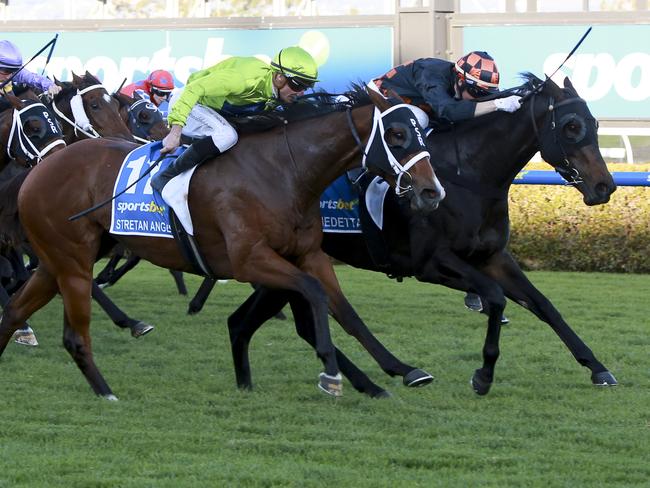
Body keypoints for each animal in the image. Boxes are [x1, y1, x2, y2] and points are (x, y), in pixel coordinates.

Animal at [0, 88, 442, 400]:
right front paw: (330, 373)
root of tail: (40, 169)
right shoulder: (250, 259)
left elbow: (346, 312)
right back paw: (107, 390)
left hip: (56, 260)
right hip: (71, 259)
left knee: (16, 310)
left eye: (422, 133)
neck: (283, 171)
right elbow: (315, 294)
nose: (431, 191)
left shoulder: (308, 254)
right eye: (397, 134)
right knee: (71, 330)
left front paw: (403, 370)